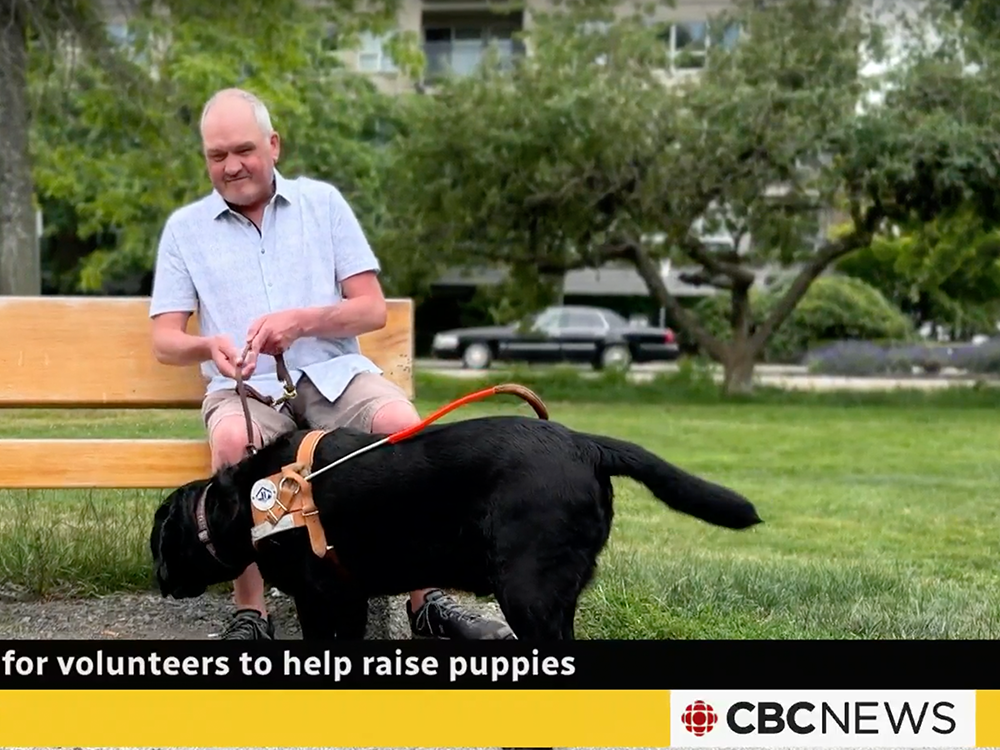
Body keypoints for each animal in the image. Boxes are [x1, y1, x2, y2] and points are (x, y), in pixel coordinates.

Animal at [148, 418, 760, 640]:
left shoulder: (325, 596)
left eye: (159, 545)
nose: (158, 581)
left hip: (528, 590)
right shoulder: (344, 596)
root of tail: (584, 443)